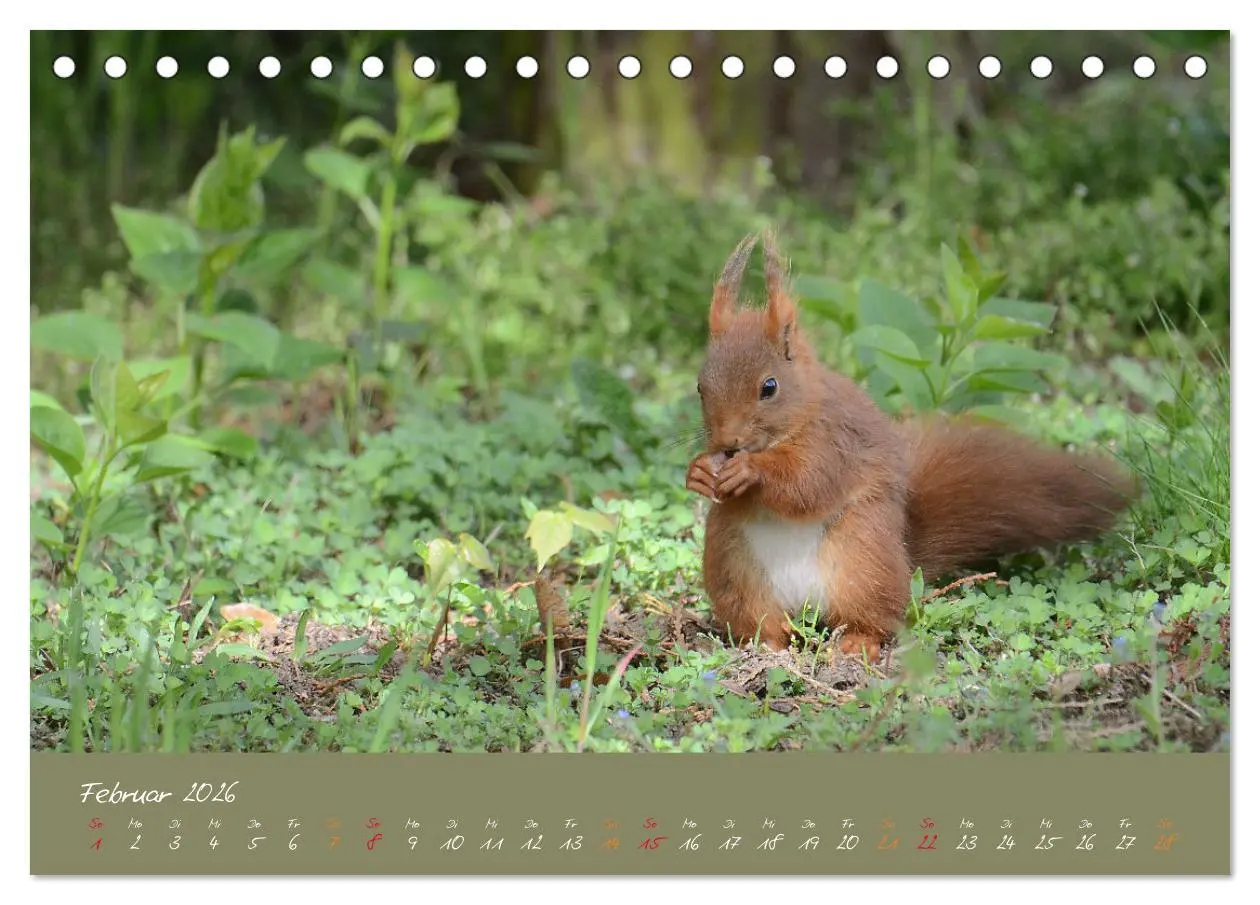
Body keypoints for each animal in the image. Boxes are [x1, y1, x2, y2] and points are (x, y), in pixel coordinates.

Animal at [685, 231, 1139, 661]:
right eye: (700, 387)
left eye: (770, 387)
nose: (727, 441)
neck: (796, 420)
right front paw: (699, 472)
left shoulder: (836, 443)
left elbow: (807, 484)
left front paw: (751, 471)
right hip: (734, 568)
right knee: (763, 619)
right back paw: (766, 644)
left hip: (862, 559)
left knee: (873, 618)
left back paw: (856, 643)